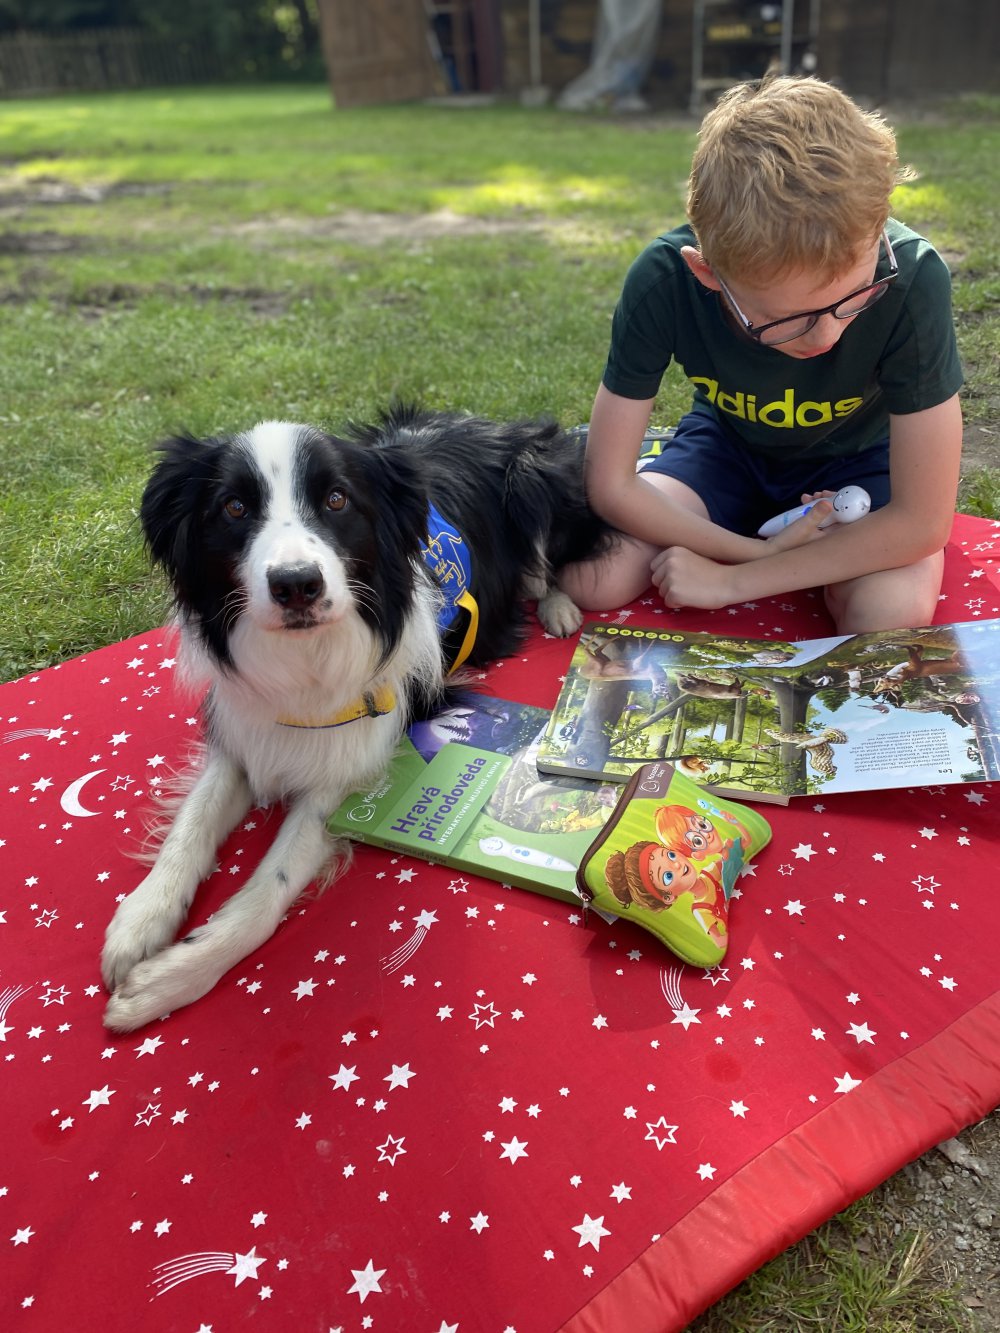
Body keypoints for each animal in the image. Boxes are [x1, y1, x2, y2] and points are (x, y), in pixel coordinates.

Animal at [101, 405, 615, 1031]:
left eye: (337, 499)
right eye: (234, 508)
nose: (296, 584)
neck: (306, 660)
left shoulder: (348, 765)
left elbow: (269, 888)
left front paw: (169, 979)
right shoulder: (246, 730)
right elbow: (192, 824)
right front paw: (143, 918)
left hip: (536, 481)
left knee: (548, 567)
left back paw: (560, 608)